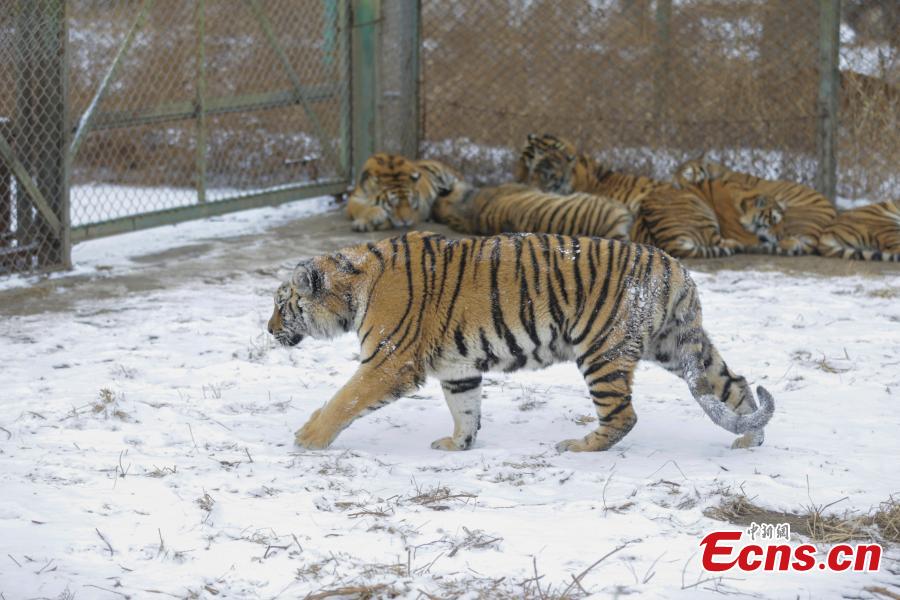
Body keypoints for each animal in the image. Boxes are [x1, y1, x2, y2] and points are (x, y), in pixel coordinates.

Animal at [266, 232, 772, 452]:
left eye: (281, 303)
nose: (269, 330)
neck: (353, 286)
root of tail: (674, 267)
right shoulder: (458, 368)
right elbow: (465, 408)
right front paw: (458, 444)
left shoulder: (389, 361)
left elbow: (345, 400)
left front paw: (307, 438)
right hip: (678, 344)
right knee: (736, 385)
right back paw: (750, 440)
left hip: (601, 352)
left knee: (622, 415)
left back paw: (578, 447)